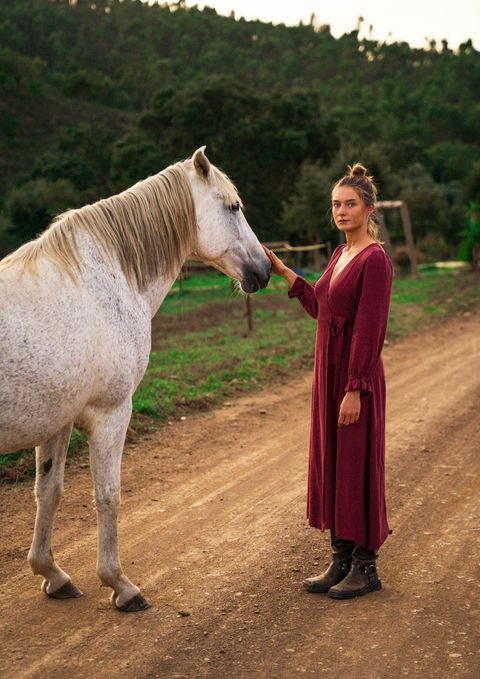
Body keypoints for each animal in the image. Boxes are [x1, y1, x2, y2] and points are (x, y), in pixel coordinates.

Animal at [0, 147, 271, 612]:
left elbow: (48, 493)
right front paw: (120, 585)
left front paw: (52, 574)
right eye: (233, 207)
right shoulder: (111, 412)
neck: (102, 278)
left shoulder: (57, 420)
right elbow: (108, 495)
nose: (266, 268)